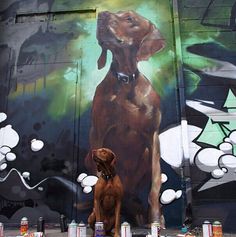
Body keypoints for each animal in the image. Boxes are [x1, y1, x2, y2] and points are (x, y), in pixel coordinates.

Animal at [85, 10, 165, 226]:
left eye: (130, 19)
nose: (102, 14)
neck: (125, 82)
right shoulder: (97, 133)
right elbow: (96, 182)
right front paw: (96, 217)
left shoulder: (153, 137)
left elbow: (155, 185)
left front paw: (155, 219)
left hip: (146, 155)